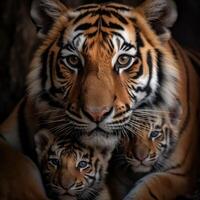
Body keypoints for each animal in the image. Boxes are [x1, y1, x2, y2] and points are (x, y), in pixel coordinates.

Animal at [0, 0, 198, 200]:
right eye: (73, 61)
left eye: (123, 60)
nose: (97, 114)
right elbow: (21, 169)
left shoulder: (178, 172)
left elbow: (147, 190)